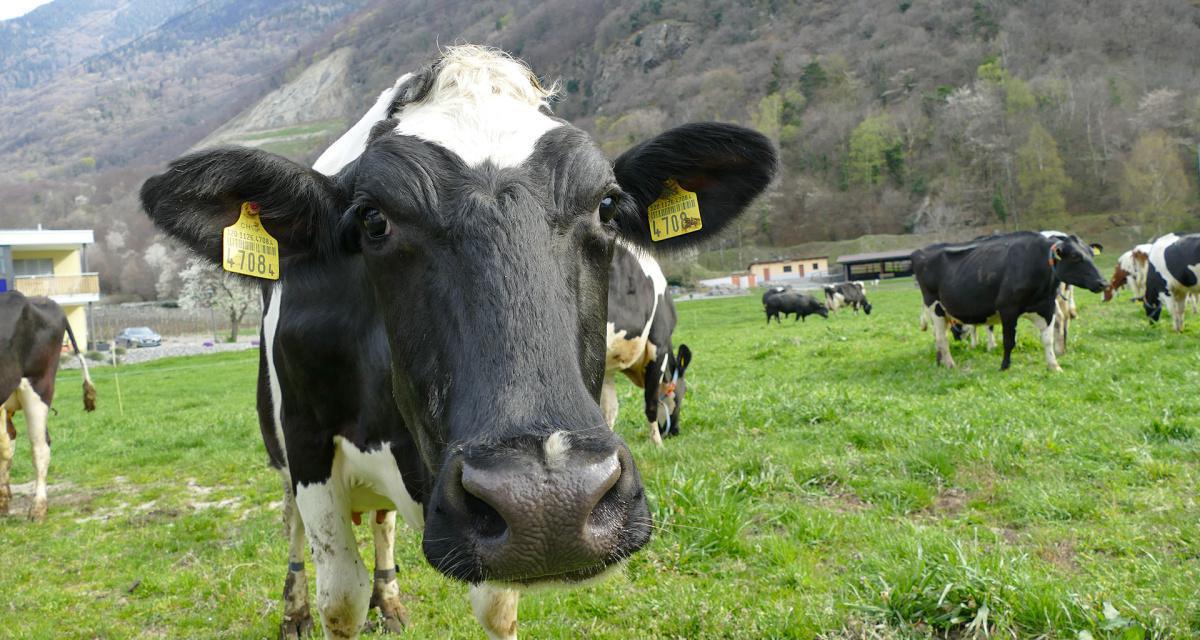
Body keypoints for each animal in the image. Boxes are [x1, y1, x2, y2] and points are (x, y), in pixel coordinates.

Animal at [600, 242, 696, 446]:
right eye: (683, 393)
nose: (675, 431)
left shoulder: (607, 368)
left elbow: (608, 411)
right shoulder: (658, 347)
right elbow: (651, 402)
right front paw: (658, 444)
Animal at [916, 230, 1104, 369]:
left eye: (1091, 255)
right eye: (1075, 257)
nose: (1103, 282)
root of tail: (922, 252)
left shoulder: (1047, 307)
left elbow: (1047, 339)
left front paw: (1054, 365)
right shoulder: (1007, 309)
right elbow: (1008, 341)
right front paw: (1004, 366)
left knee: (938, 336)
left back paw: (940, 361)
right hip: (934, 307)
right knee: (941, 338)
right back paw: (949, 364)